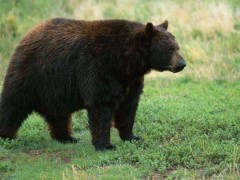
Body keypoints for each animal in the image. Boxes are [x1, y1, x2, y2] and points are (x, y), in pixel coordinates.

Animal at [0, 18, 186, 150]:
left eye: (178, 47)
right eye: (170, 49)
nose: (182, 64)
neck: (126, 61)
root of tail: (29, 32)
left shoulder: (130, 80)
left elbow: (128, 107)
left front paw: (132, 136)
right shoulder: (98, 67)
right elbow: (101, 106)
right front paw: (106, 145)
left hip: (53, 88)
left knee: (58, 114)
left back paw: (66, 137)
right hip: (31, 74)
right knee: (13, 105)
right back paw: (7, 136)